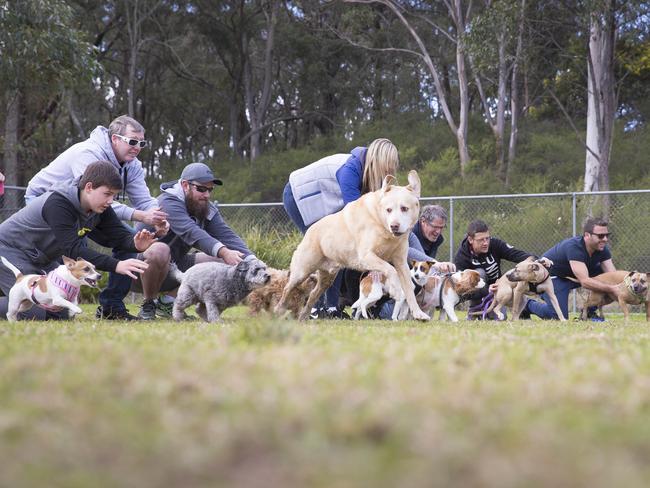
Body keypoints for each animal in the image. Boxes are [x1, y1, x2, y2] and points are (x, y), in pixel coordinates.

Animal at [274, 170, 426, 322]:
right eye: (388, 210)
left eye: (404, 208)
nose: (394, 226)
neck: (381, 224)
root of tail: (310, 230)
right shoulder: (367, 256)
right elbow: (390, 270)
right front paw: (395, 290)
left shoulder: (401, 263)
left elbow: (409, 290)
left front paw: (418, 313)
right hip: (302, 271)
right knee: (287, 289)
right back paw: (279, 310)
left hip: (327, 278)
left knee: (313, 295)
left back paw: (303, 316)